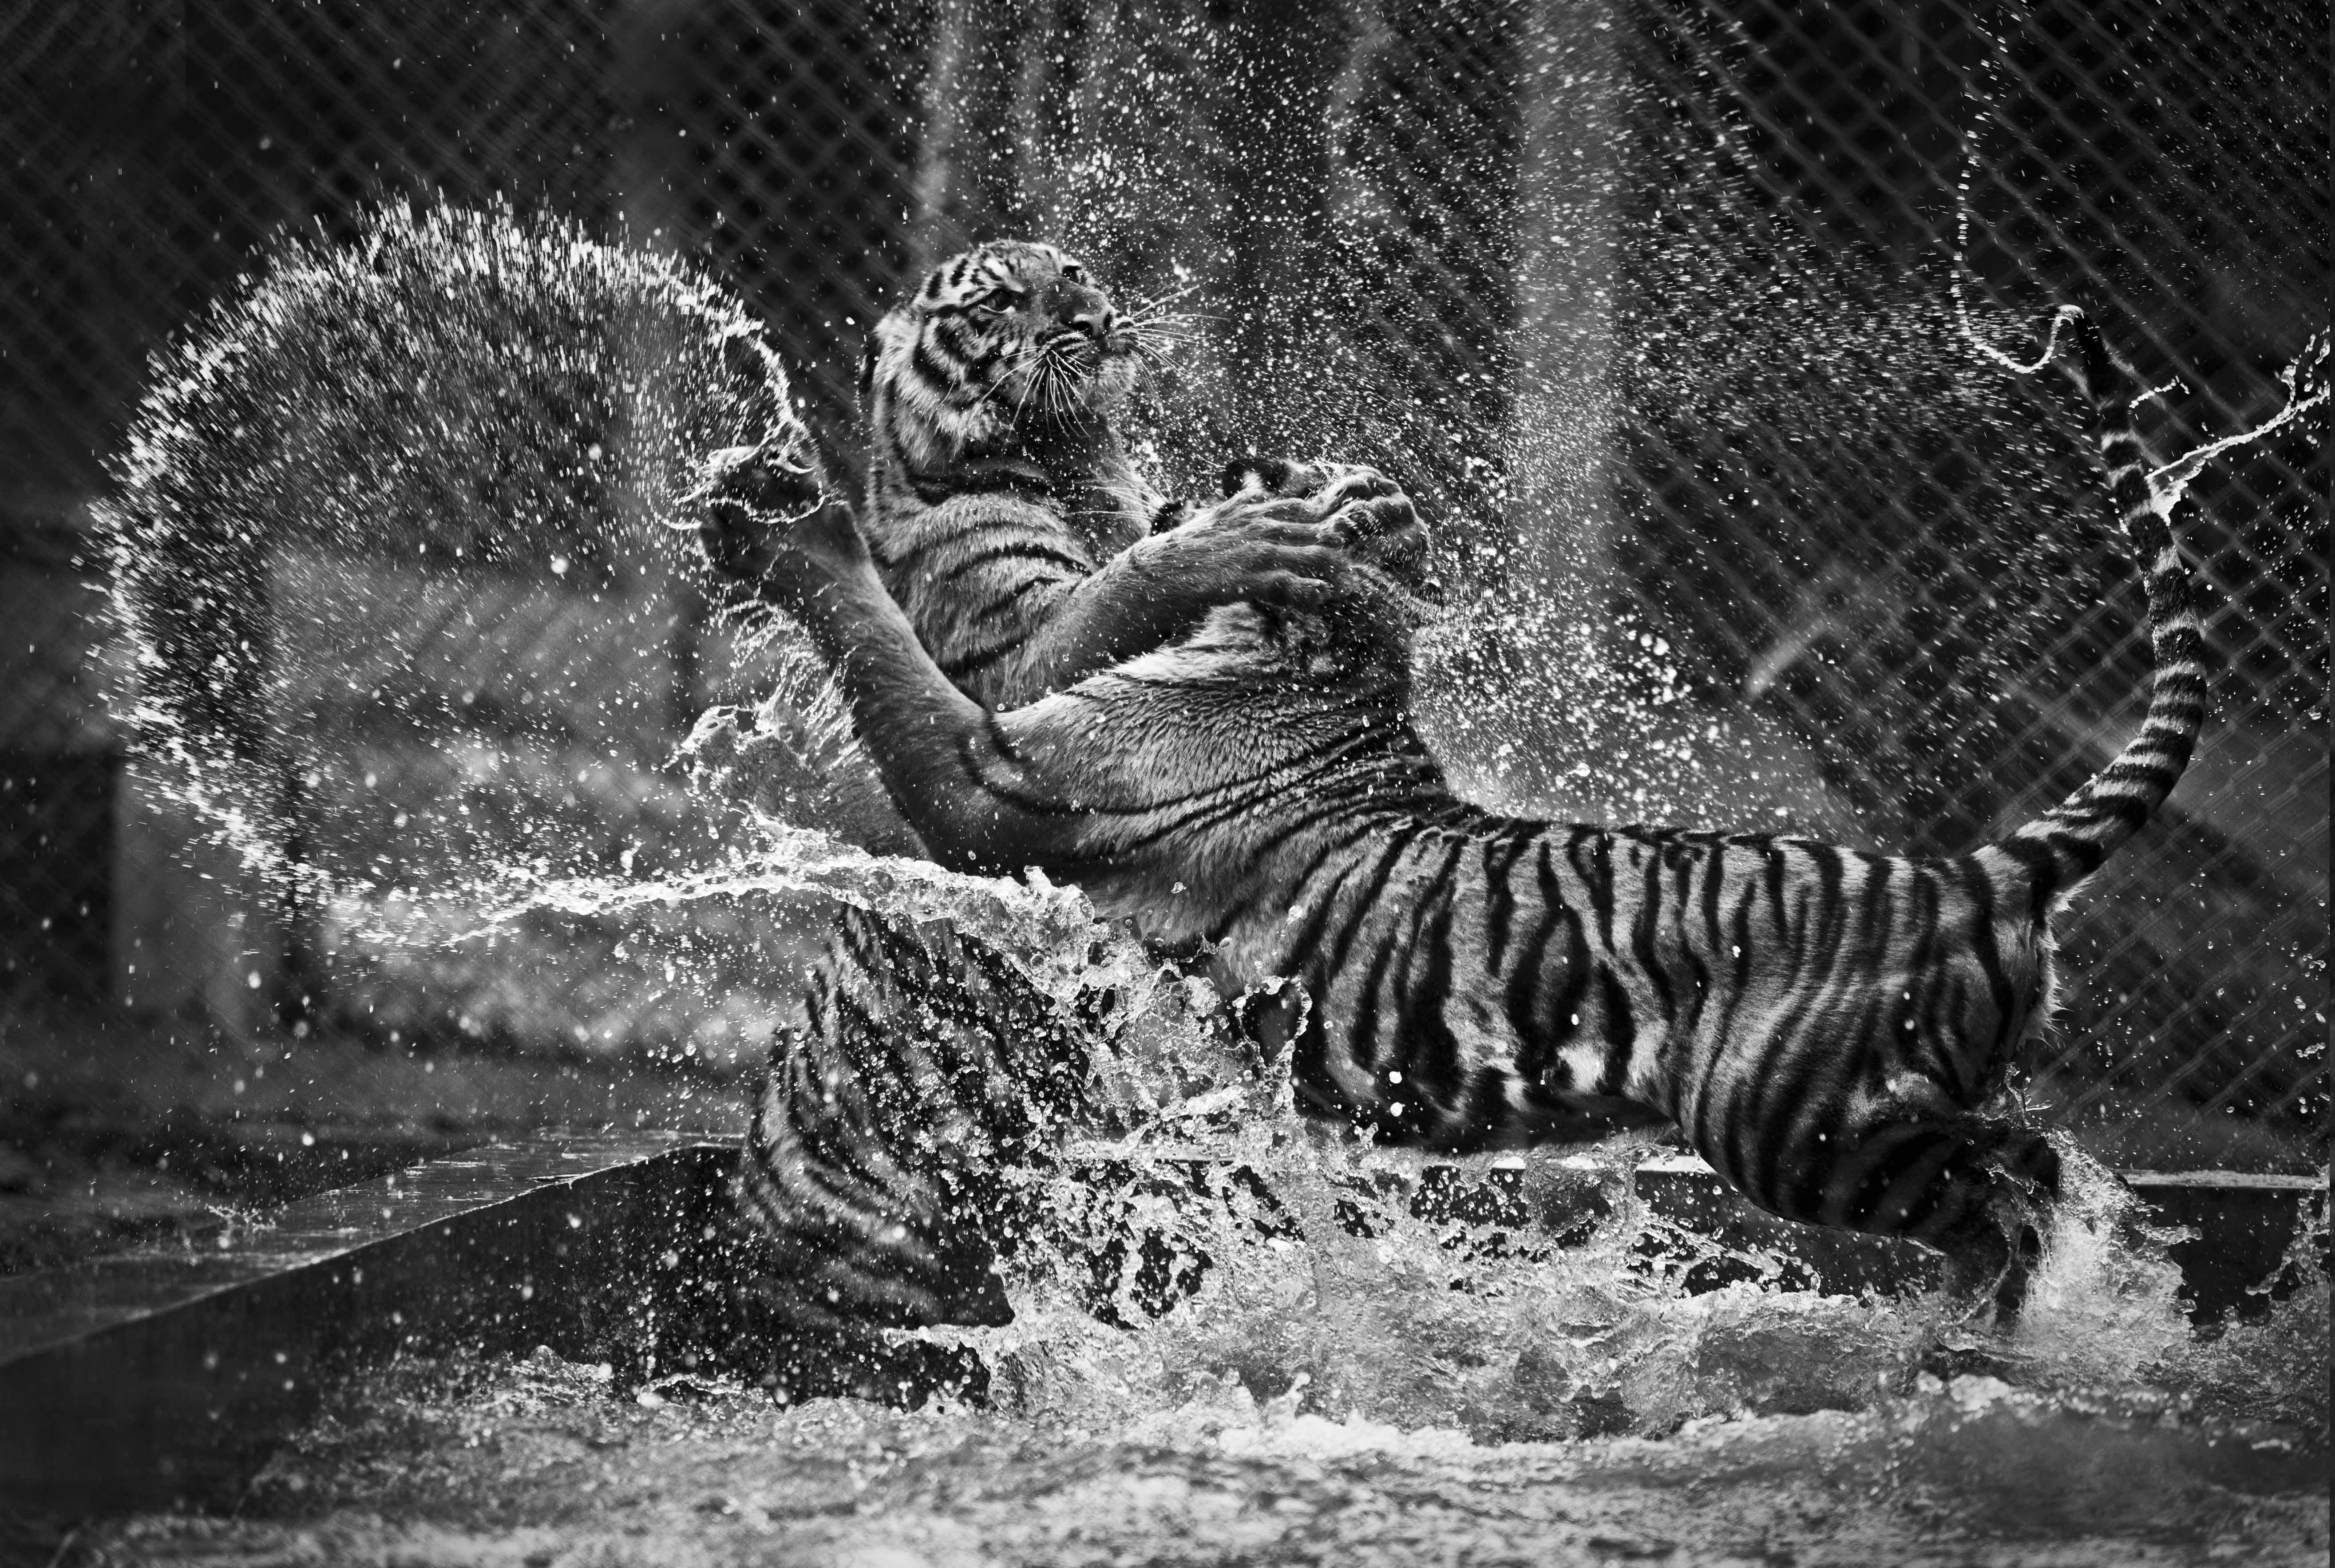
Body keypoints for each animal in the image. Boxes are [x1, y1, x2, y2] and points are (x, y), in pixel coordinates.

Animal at [703, 285, 2198, 1328]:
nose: (1231, 460)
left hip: (1800, 1129)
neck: (1338, 652)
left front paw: (792, 523)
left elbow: (895, 661)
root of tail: (1968, 873)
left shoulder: (1001, 776)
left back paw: (1983, 1326)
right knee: (2033, 1166)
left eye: (1278, 473)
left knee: (2006, 1190)